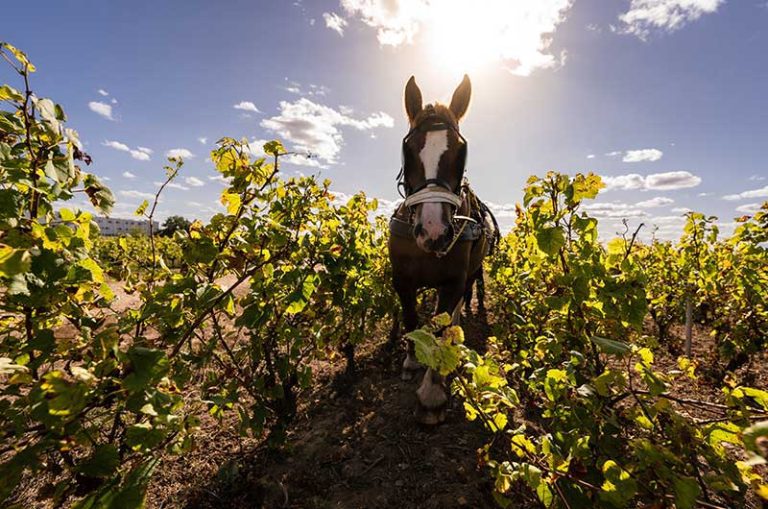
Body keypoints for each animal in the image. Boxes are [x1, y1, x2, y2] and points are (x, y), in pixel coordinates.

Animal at [388, 75, 498, 425]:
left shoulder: (453, 281)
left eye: (461, 151)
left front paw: (433, 394)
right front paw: (411, 360)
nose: (434, 231)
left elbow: (441, 327)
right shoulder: (402, 279)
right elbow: (411, 319)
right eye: (408, 149)